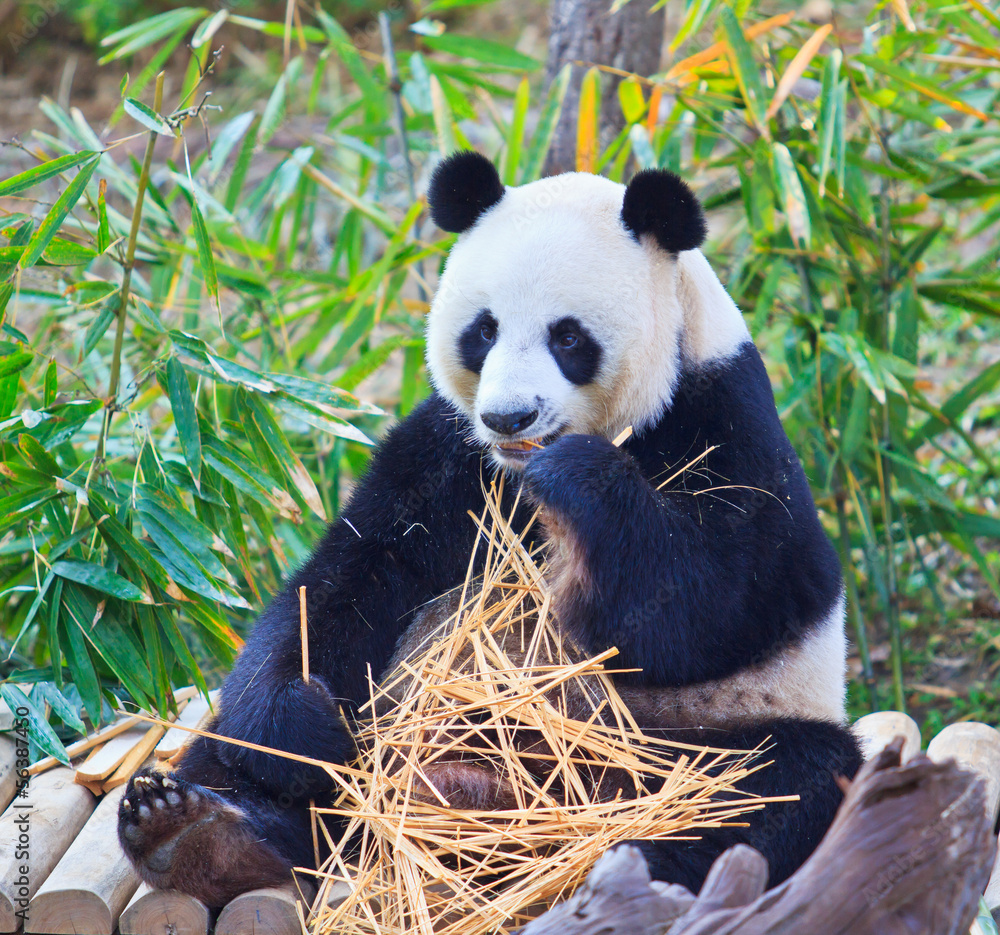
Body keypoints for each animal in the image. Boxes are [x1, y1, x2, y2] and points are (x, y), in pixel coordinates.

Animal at [117, 151, 862, 908]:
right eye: (484, 330)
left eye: (569, 336)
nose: (509, 417)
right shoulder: (448, 452)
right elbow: (346, 582)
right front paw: (300, 728)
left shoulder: (725, 420)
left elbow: (716, 601)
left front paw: (577, 477)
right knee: (235, 760)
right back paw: (202, 835)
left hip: (690, 737)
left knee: (771, 785)